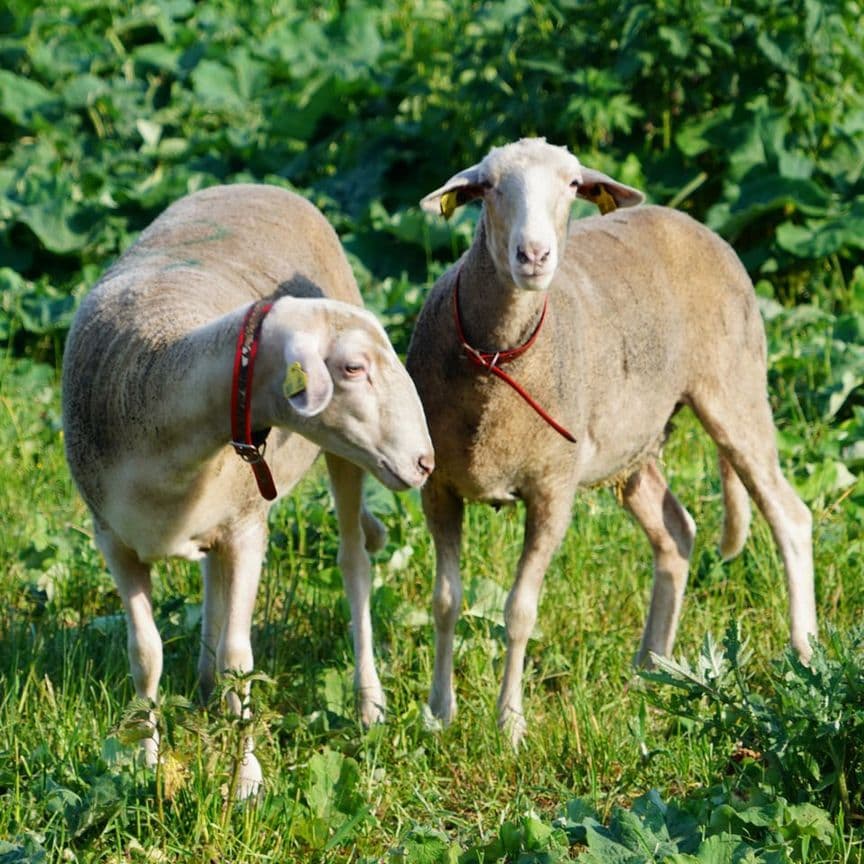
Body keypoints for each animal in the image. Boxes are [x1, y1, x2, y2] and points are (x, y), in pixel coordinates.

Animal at [63, 182, 436, 796]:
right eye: (353, 368)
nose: (427, 462)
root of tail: (262, 185)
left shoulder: (248, 530)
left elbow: (241, 661)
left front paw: (245, 780)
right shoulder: (112, 538)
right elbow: (145, 652)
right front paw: (144, 756)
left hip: (346, 460)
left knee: (355, 564)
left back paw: (368, 702)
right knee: (212, 585)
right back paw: (205, 691)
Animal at [404, 138, 816, 744]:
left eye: (573, 186)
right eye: (490, 187)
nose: (534, 256)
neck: (498, 363)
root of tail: (687, 219)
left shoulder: (552, 487)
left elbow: (519, 611)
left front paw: (510, 724)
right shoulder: (438, 487)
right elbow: (444, 601)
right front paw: (437, 714)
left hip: (735, 387)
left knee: (790, 516)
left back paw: (804, 655)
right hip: (635, 444)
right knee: (676, 532)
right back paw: (652, 670)